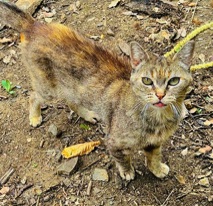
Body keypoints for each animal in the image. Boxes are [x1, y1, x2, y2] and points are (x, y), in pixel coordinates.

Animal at [0, 0, 194, 180]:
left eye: (174, 81)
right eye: (147, 81)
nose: (160, 95)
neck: (156, 119)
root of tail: (34, 25)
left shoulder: (155, 143)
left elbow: (153, 156)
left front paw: (157, 168)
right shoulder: (114, 142)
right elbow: (122, 158)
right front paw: (127, 171)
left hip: (72, 87)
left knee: (71, 101)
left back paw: (87, 114)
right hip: (47, 87)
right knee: (33, 96)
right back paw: (35, 117)